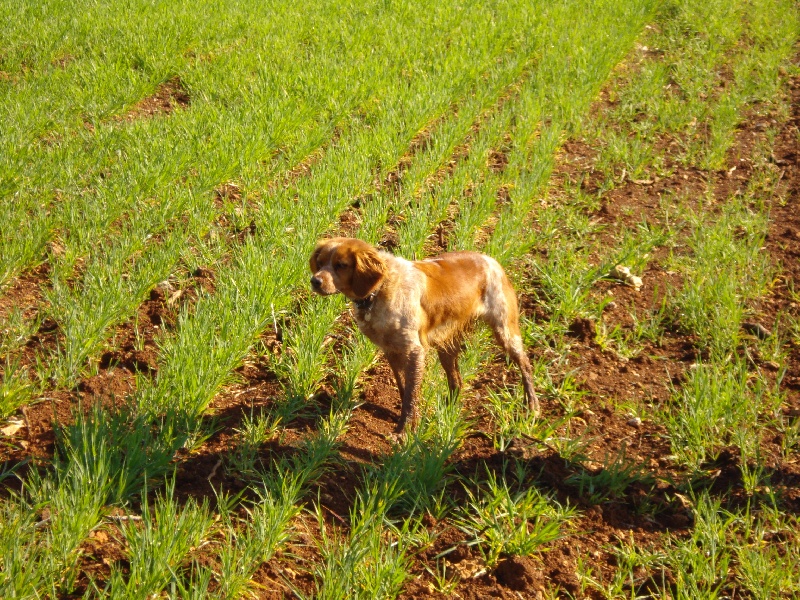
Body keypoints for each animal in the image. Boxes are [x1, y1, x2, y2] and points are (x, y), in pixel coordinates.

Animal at [310, 238, 540, 432]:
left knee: (526, 364)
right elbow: (404, 389)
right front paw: (415, 423)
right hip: (447, 346)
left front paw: (404, 432)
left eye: (341, 265)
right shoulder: (391, 350)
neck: (380, 290)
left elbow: (411, 395)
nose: (315, 281)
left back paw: (533, 406)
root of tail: (492, 260)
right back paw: (447, 414)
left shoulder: (414, 350)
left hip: (505, 330)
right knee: (456, 381)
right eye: (320, 263)